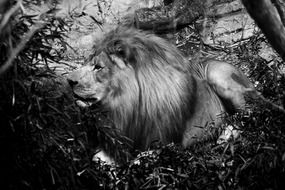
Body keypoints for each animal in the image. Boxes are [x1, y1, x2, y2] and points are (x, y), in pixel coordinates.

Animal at [67, 26, 255, 160]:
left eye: (98, 67)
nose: (69, 80)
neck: (126, 105)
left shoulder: (166, 144)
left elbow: (141, 158)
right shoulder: (119, 136)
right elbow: (99, 157)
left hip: (218, 77)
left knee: (249, 114)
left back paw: (226, 136)